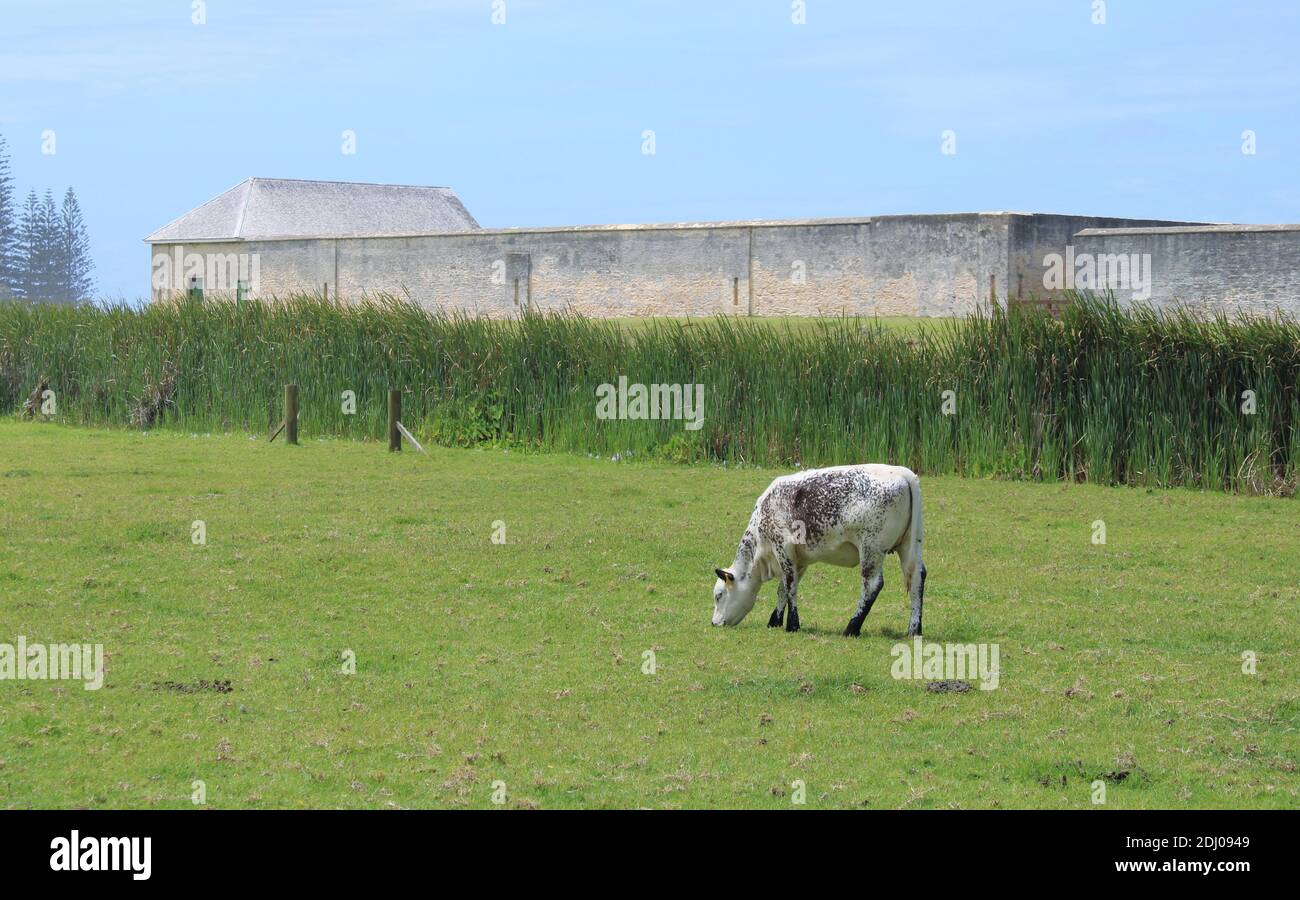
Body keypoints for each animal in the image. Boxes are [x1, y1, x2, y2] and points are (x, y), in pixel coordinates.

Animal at [712, 468, 925, 637]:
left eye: (719, 595)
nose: (714, 623)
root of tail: (903, 473)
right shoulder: (799, 560)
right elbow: (783, 589)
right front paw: (775, 621)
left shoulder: (783, 548)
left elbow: (790, 587)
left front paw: (792, 625)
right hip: (910, 545)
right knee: (917, 579)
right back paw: (914, 629)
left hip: (871, 548)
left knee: (872, 585)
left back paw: (852, 628)